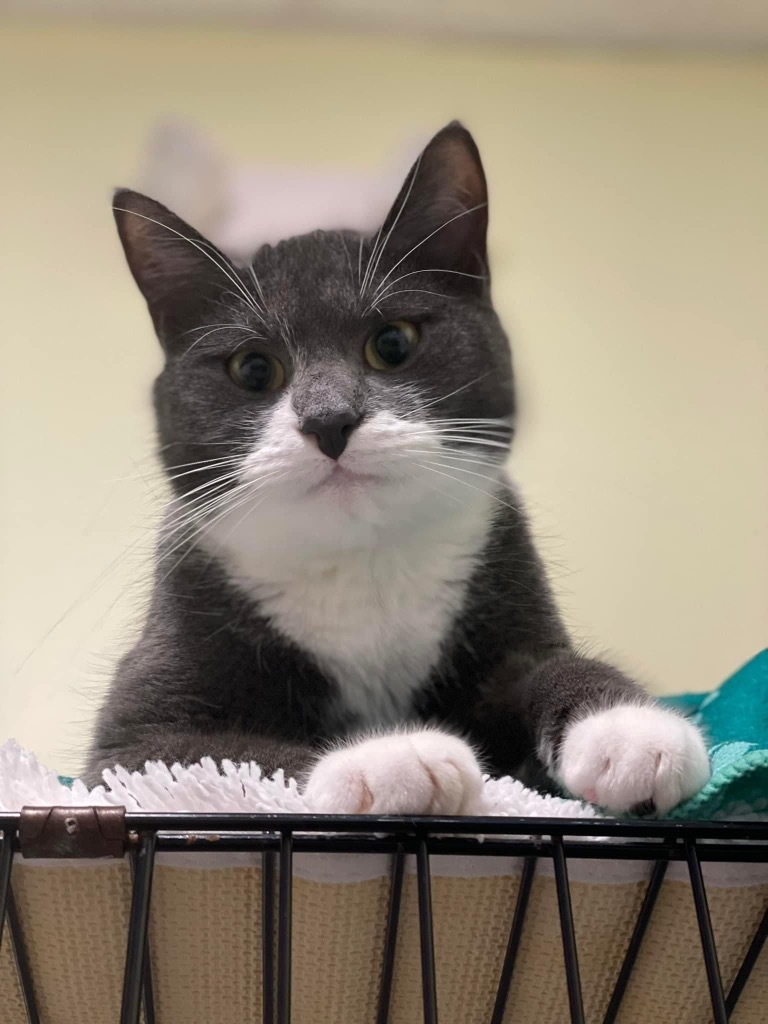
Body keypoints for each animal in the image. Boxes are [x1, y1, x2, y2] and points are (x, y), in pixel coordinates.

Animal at [83, 121, 708, 815]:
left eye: (391, 343)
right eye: (253, 367)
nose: (329, 419)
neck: (361, 561)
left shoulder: (508, 589)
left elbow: (546, 665)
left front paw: (629, 728)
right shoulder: (132, 737)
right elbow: (220, 761)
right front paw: (388, 760)